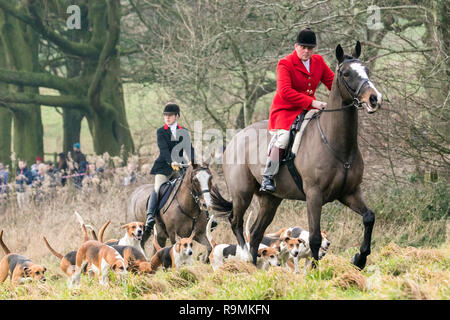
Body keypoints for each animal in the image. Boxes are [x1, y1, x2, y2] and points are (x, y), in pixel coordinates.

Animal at [211, 40, 384, 270]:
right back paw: (246, 256)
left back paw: (256, 267)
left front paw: (360, 258)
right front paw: (314, 271)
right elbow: (315, 238)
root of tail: (234, 140)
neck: (338, 145)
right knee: (236, 222)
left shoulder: (350, 192)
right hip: (242, 193)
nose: (374, 99)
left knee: (256, 233)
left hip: (270, 200)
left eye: (366, 70)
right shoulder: (314, 195)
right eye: (346, 73)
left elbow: (369, 217)